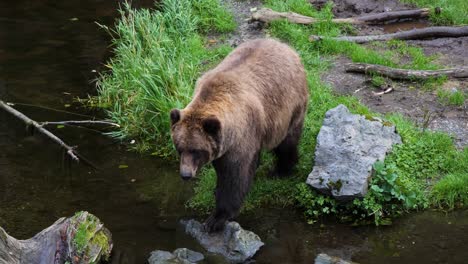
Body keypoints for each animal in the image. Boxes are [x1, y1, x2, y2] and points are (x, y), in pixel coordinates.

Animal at [170, 38, 308, 232]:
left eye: (196, 150)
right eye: (179, 148)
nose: (185, 174)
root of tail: (284, 45)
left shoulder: (242, 135)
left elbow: (235, 175)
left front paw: (215, 219)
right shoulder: (224, 143)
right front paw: (216, 191)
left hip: (288, 105)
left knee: (287, 141)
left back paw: (282, 170)